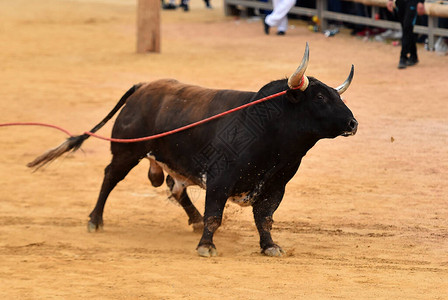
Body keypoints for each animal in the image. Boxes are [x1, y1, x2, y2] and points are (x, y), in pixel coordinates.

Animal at [28, 45, 356, 256]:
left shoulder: (276, 184)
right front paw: (206, 246)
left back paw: (192, 218)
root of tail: (143, 87)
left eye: (335, 96)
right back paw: (95, 221)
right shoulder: (220, 179)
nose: (353, 123)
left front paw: (269, 246)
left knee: (174, 187)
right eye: (320, 98)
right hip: (126, 152)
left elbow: (264, 217)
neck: (267, 129)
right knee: (110, 177)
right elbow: (215, 215)